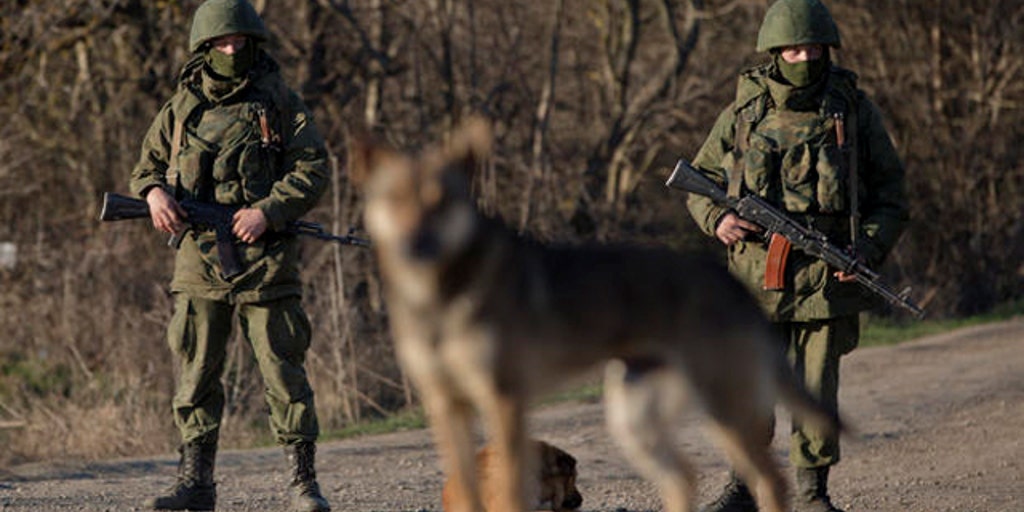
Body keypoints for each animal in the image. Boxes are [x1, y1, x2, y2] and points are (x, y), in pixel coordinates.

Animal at [349, 118, 842, 512]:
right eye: (393, 198)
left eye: (442, 200)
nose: (416, 245)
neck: (438, 296)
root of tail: (729, 283)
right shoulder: (445, 406)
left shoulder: (505, 400)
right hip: (634, 418)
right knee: (685, 476)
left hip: (721, 405)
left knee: (769, 479)